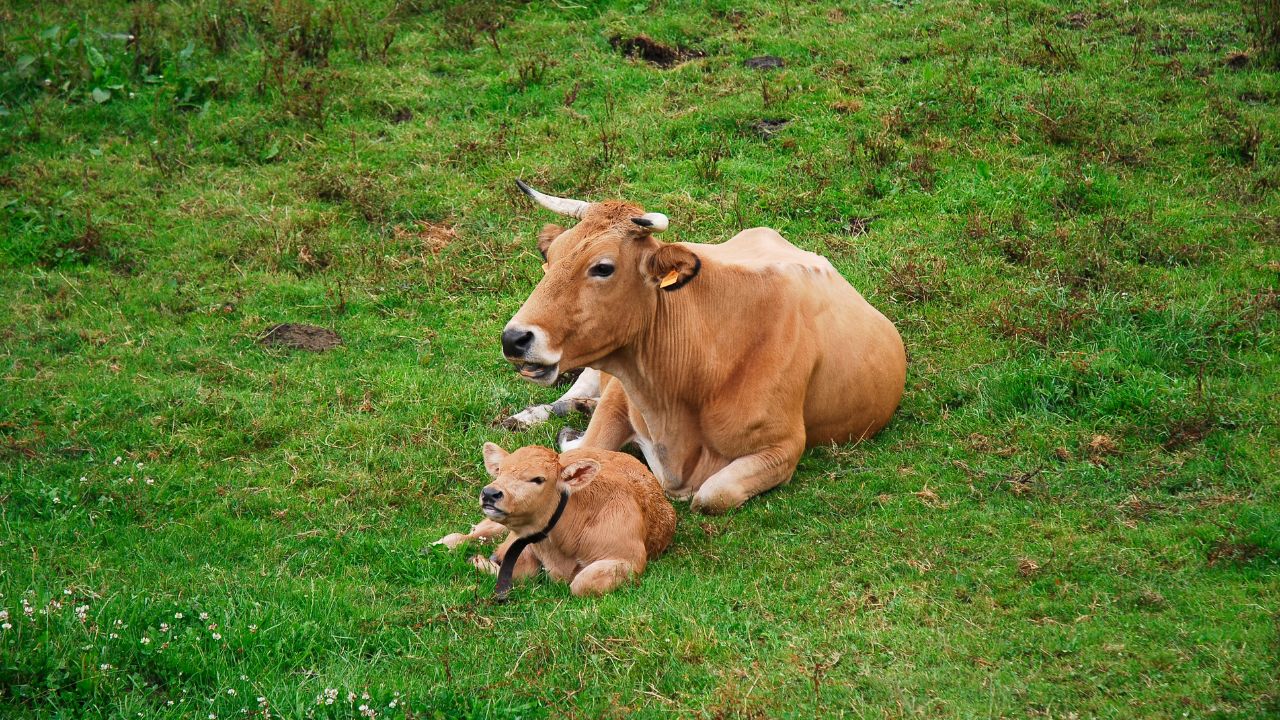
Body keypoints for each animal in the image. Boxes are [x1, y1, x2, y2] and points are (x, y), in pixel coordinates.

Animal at [500, 181, 907, 514]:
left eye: (603, 267)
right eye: (550, 258)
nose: (514, 338)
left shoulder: (785, 447)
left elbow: (712, 495)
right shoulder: (621, 390)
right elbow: (586, 447)